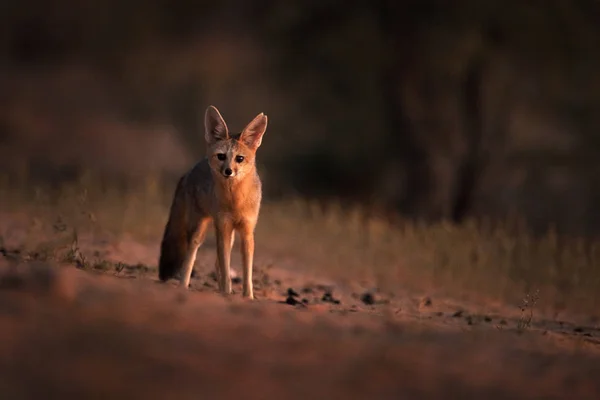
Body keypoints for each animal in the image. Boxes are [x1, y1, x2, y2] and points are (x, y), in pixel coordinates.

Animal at [158, 104, 266, 298]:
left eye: (239, 158)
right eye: (221, 156)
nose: (228, 171)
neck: (235, 201)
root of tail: (189, 171)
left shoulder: (246, 231)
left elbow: (246, 273)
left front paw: (248, 297)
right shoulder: (223, 227)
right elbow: (225, 267)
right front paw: (227, 293)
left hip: (228, 235)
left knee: (218, 264)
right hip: (200, 229)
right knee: (191, 255)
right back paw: (184, 286)